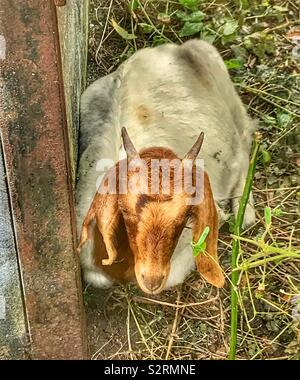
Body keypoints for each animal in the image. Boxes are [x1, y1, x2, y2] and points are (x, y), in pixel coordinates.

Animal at [76, 39, 256, 294]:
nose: (152, 278)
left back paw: (245, 212)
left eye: (183, 216)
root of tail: (171, 48)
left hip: (225, 88)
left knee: (245, 141)